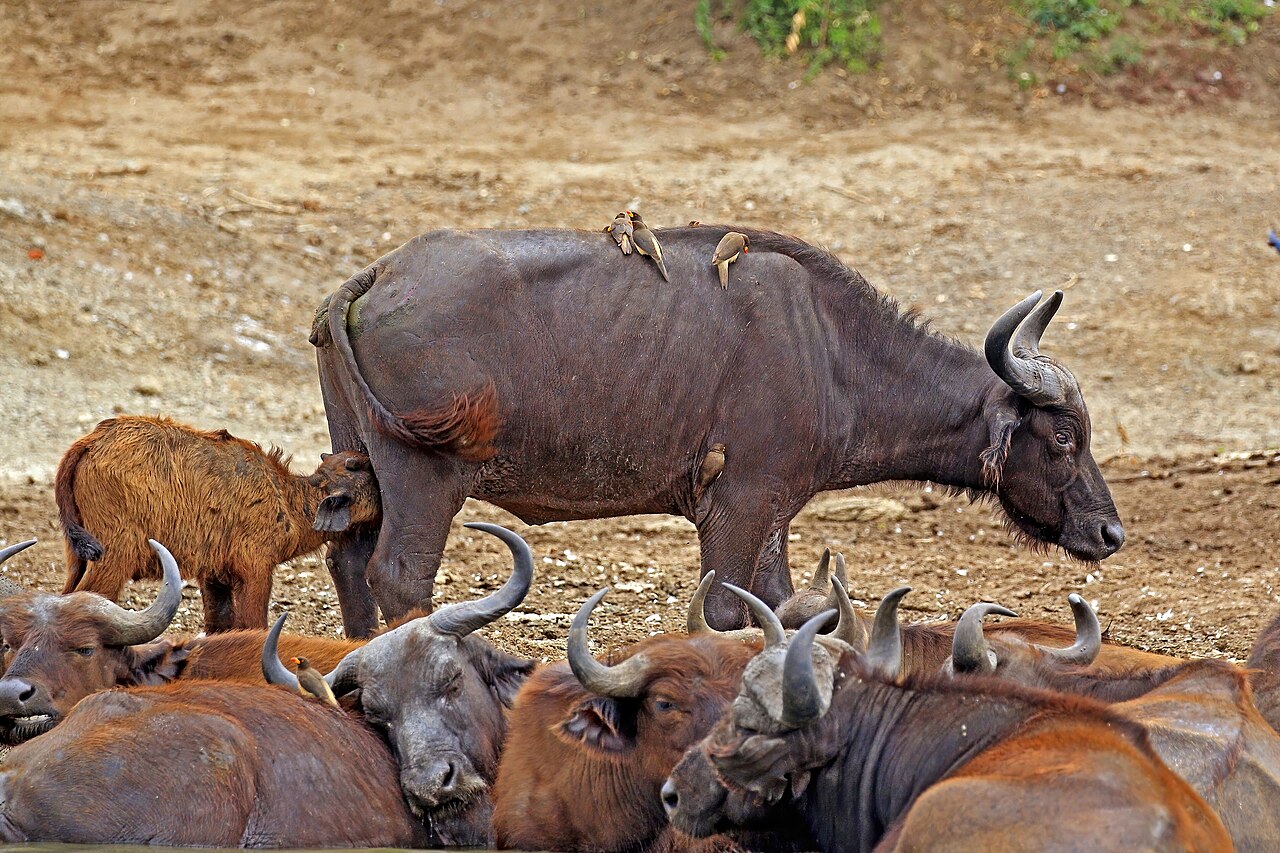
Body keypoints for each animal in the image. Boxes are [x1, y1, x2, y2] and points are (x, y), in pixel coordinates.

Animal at [56, 415, 380, 631]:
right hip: (112, 559)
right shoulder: (255, 572)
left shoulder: (214, 578)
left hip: (78, 559)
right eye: (368, 472)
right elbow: (253, 625)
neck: (285, 497)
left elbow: (219, 625)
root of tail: (92, 441)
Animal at [312, 227, 1122, 633]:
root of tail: (378, 274)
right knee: (399, 575)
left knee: (349, 564)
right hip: (426, 478)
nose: (1109, 531)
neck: (830, 349)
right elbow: (731, 611)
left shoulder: (773, 516)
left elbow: (787, 603)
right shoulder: (737, 505)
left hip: (358, 467)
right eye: (1063, 436)